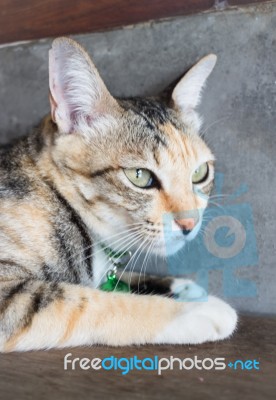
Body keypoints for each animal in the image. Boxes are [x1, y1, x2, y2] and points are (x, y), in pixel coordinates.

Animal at [0, 36, 237, 350]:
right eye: (140, 176)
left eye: (200, 173)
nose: (190, 223)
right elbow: (96, 300)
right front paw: (199, 310)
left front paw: (182, 287)